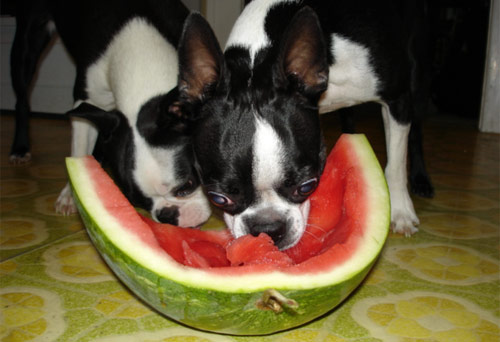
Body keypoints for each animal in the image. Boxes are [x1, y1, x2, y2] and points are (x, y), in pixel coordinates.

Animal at [11, 0, 211, 227]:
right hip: (28, 40)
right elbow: (79, 149)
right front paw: (71, 193)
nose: (166, 216)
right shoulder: (86, 100)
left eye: (186, 186)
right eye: (138, 202)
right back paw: (20, 149)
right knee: (21, 100)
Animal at [177, 0, 434, 247]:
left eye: (307, 186)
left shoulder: (396, 98)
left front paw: (400, 210)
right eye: (218, 198)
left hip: (417, 71)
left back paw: (420, 180)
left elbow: (396, 163)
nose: (268, 229)